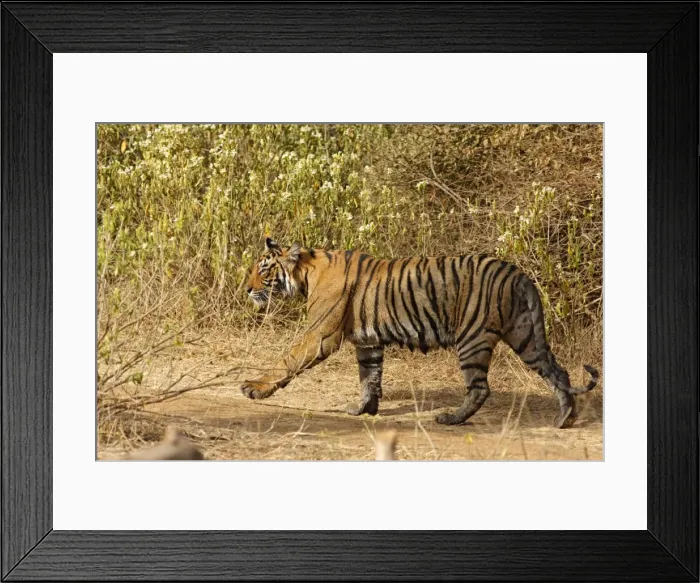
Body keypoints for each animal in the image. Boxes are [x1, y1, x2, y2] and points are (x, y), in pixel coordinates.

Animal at [241, 238, 598, 428]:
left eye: (263, 269)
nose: (246, 289)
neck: (306, 272)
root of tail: (518, 274)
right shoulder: (368, 341)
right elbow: (369, 376)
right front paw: (364, 410)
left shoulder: (320, 336)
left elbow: (288, 359)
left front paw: (254, 387)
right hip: (525, 335)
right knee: (558, 372)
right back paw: (565, 418)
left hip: (472, 338)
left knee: (480, 388)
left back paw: (451, 419)